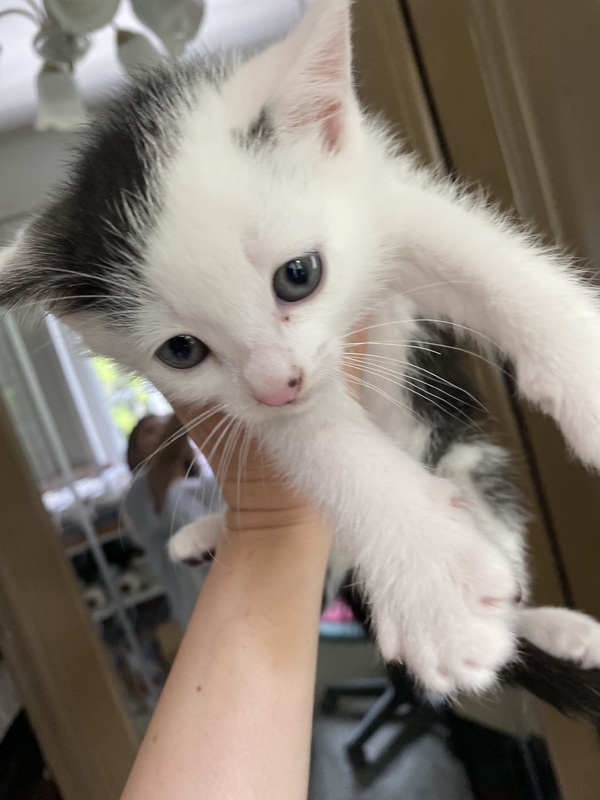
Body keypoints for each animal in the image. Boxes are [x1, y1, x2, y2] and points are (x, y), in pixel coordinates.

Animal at [3, 0, 600, 711]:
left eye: (299, 275)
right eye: (182, 350)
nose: (278, 384)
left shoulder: (382, 194)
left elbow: (475, 255)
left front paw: (582, 369)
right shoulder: (244, 400)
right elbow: (314, 440)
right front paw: (433, 588)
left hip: (470, 460)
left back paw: (560, 628)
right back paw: (212, 532)